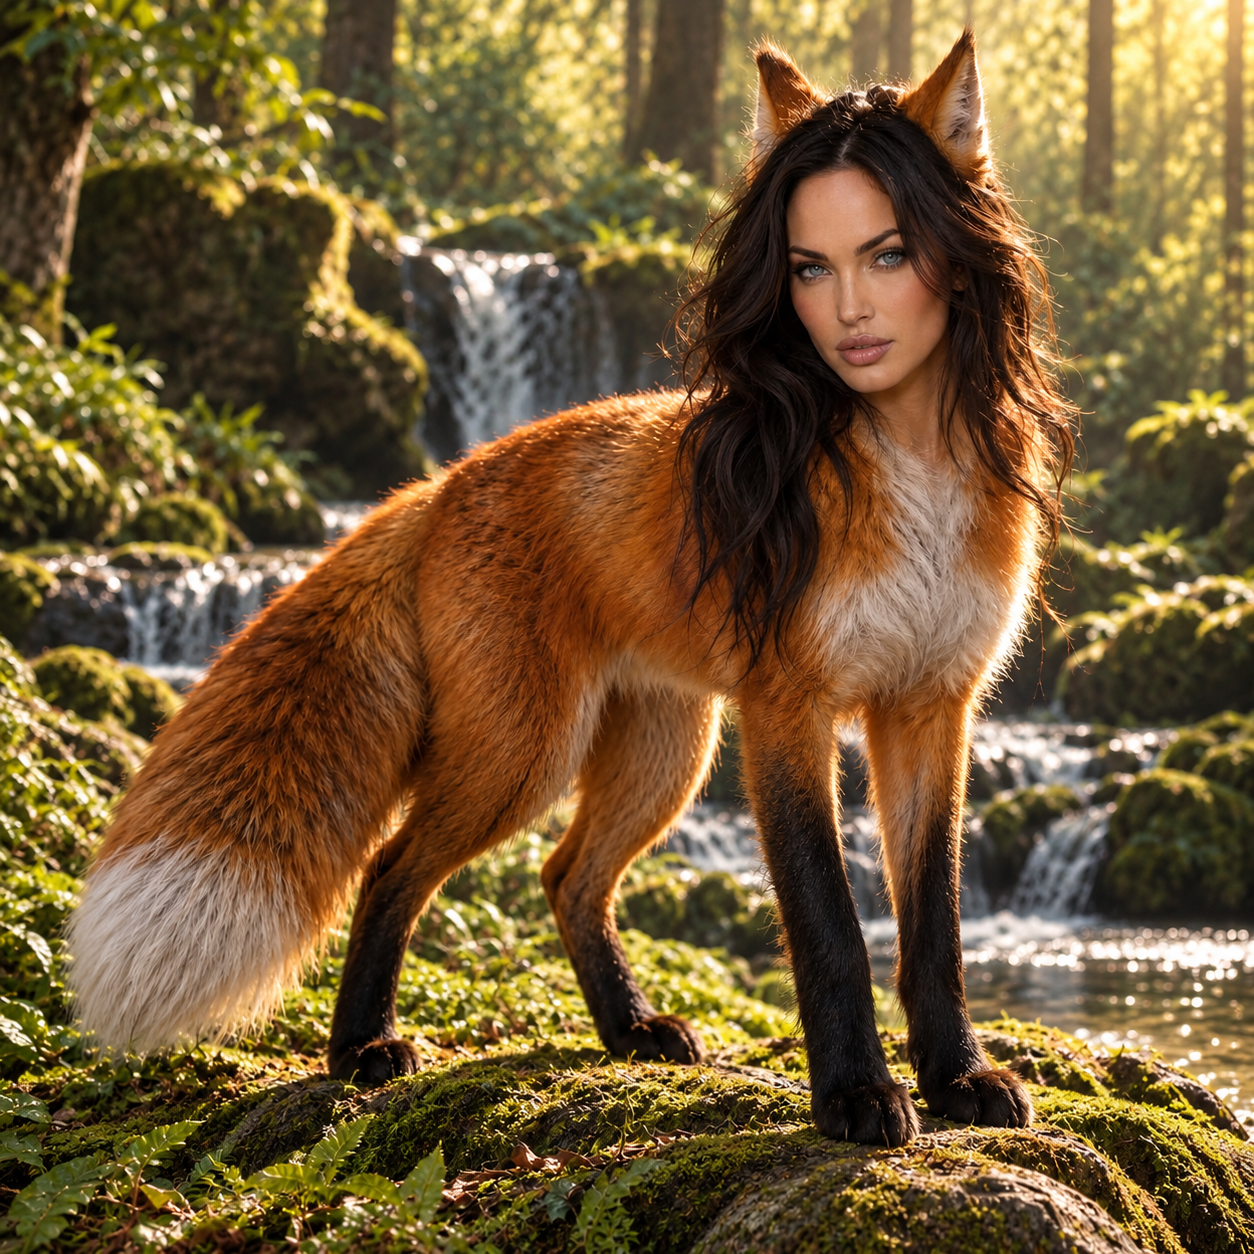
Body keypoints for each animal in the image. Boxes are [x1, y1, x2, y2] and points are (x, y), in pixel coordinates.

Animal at [65, 31, 1073, 1148]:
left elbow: (933, 931)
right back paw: (362, 1048)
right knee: (392, 867)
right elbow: (831, 928)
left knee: (566, 877)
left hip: (663, 755)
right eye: (807, 264)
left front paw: (956, 1077)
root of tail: (442, 482)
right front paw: (854, 1094)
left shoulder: (930, 709)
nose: (847, 321)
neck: (911, 481)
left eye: (886, 252)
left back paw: (626, 1028)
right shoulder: (789, 709)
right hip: (529, 751)